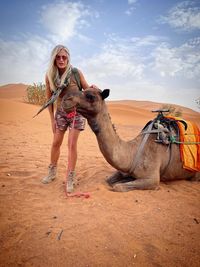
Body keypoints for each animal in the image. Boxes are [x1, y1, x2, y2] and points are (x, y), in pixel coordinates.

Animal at [61, 89, 199, 192]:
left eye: (90, 96)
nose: (66, 99)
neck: (133, 153)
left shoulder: (152, 180)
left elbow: (118, 187)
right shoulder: (123, 170)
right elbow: (109, 180)